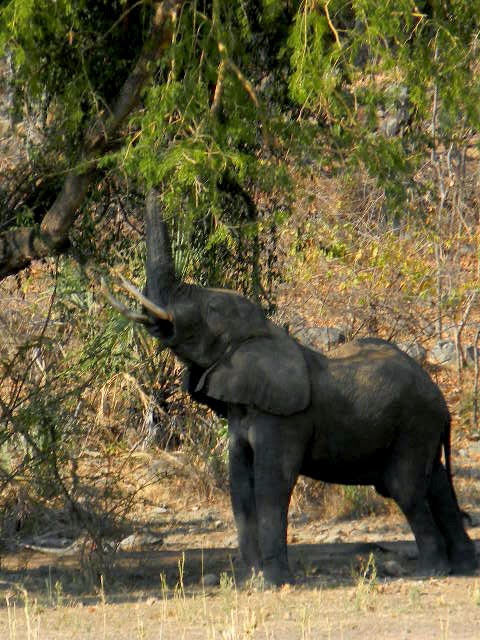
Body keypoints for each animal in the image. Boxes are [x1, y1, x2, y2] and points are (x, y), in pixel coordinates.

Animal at [105, 197, 477, 586]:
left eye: (210, 310)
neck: (264, 334)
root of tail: (443, 403)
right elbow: (240, 483)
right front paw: (253, 581)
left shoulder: (283, 418)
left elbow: (273, 483)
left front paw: (272, 581)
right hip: (421, 427)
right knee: (437, 483)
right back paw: (463, 567)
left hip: (413, 425)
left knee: (406, 487)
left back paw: (430, 571)